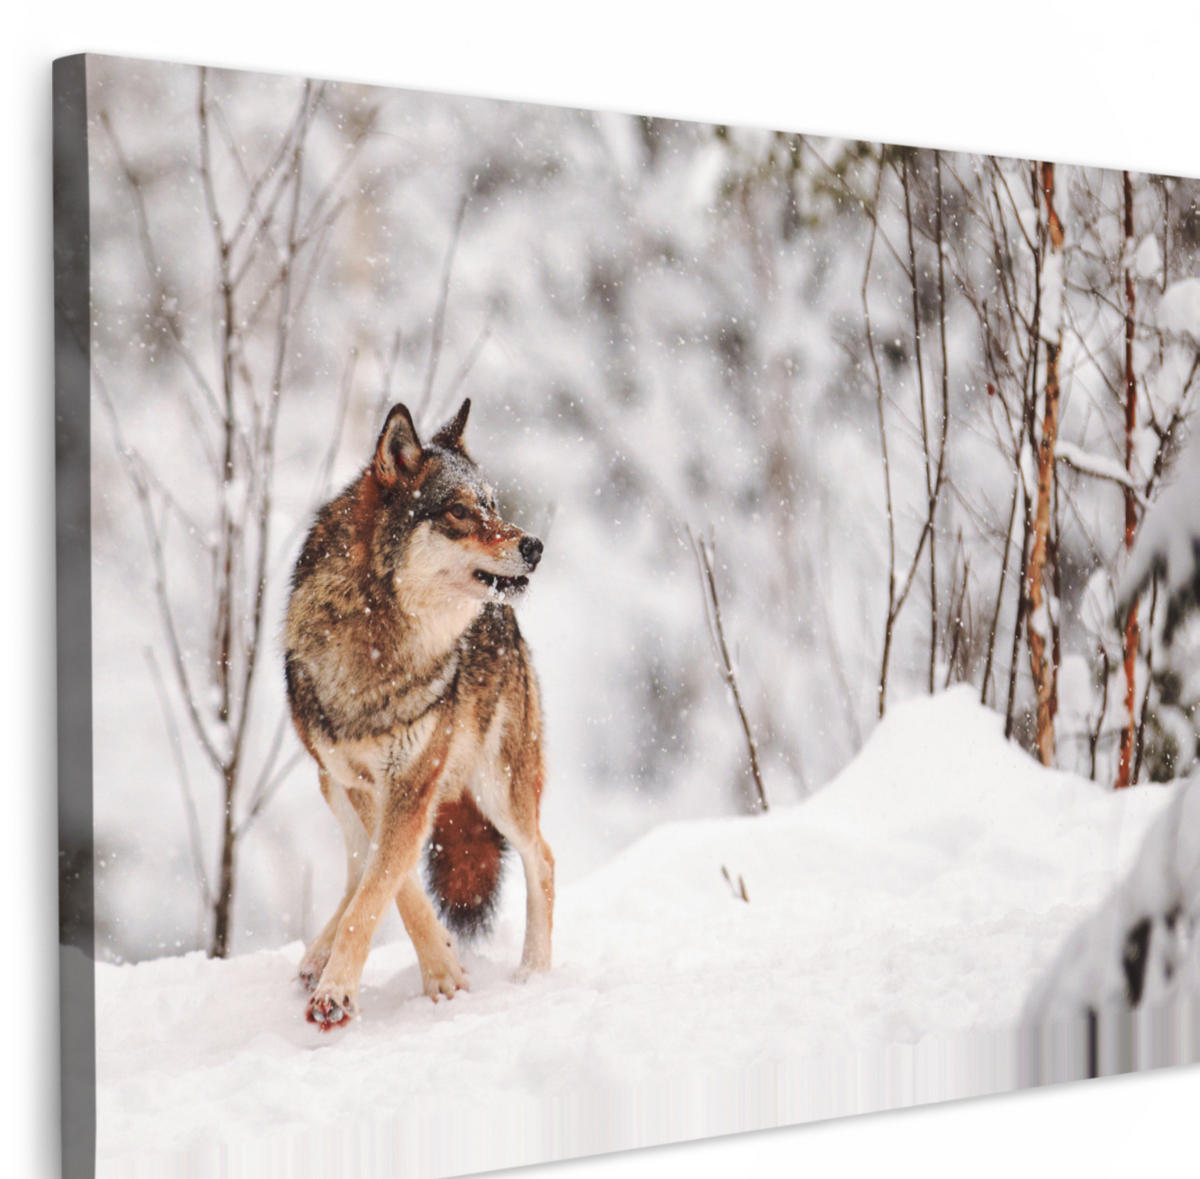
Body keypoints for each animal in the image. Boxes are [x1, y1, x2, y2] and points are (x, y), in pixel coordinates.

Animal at [284, 398, 553, 1029]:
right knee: (357, 863)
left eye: (493, 505)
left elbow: (382, 886)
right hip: (330, 784)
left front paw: (340, 993)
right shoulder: (363, 783)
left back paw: (533, 974)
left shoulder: (412, 782)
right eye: (458, 510)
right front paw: (441, 971)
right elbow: (391, 885)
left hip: (500, 789)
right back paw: (316, 956)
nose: (534, 545)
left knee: (544, 861)